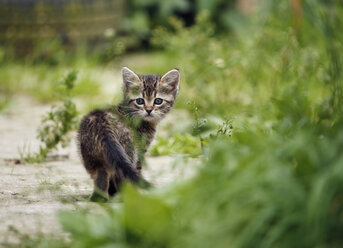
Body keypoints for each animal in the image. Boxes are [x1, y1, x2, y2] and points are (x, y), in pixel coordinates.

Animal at [78, 67, 180, 201]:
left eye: (158, 101)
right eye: (140, 101)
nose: (148, 110)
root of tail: (102, 124)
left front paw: (112, 193)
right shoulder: (141, 151)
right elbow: (137, 172)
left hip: (91, 157)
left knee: (101, 175)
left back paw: (99, 198)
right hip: (129, 151)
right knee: (122, 176)